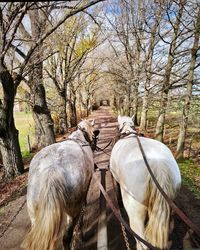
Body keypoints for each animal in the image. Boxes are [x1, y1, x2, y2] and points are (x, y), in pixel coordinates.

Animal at [21, 119, 99, 250]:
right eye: (93, 134)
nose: (94, 144)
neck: (80, 136)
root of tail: (52, 169)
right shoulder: (86, 187)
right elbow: (84, 205)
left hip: (33, 212)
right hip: (73, 209)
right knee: (66, 237)